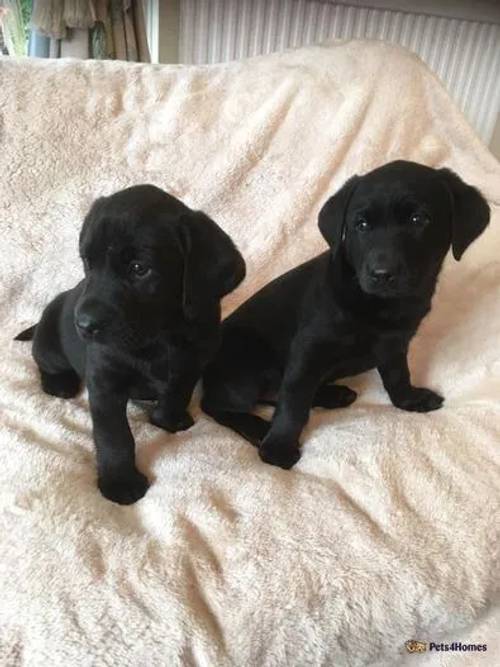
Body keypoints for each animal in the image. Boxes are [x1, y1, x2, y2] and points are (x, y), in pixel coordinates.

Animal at [17, 185, 246, 504]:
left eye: (139, 269)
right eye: (87, 263)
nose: (83, 325)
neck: (162, 335)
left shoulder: (192, 363)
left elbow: (177, 393)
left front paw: (167, 419)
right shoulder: (105, 381)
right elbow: (115, 435)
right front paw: (120, 482)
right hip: (50, 344)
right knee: (43, 361)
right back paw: (58, 383)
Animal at [202, 161, 488, 470]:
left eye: (418, 219)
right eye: (361, 225)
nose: (382, 274)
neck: (382, 304)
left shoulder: (394, 343)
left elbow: (398, 374)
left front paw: (408, 399)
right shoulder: (309, 347)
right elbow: (294, 400)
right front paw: (279, 446)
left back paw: (332, 394)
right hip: (245, 363)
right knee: (220, 405)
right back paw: (259, 428)